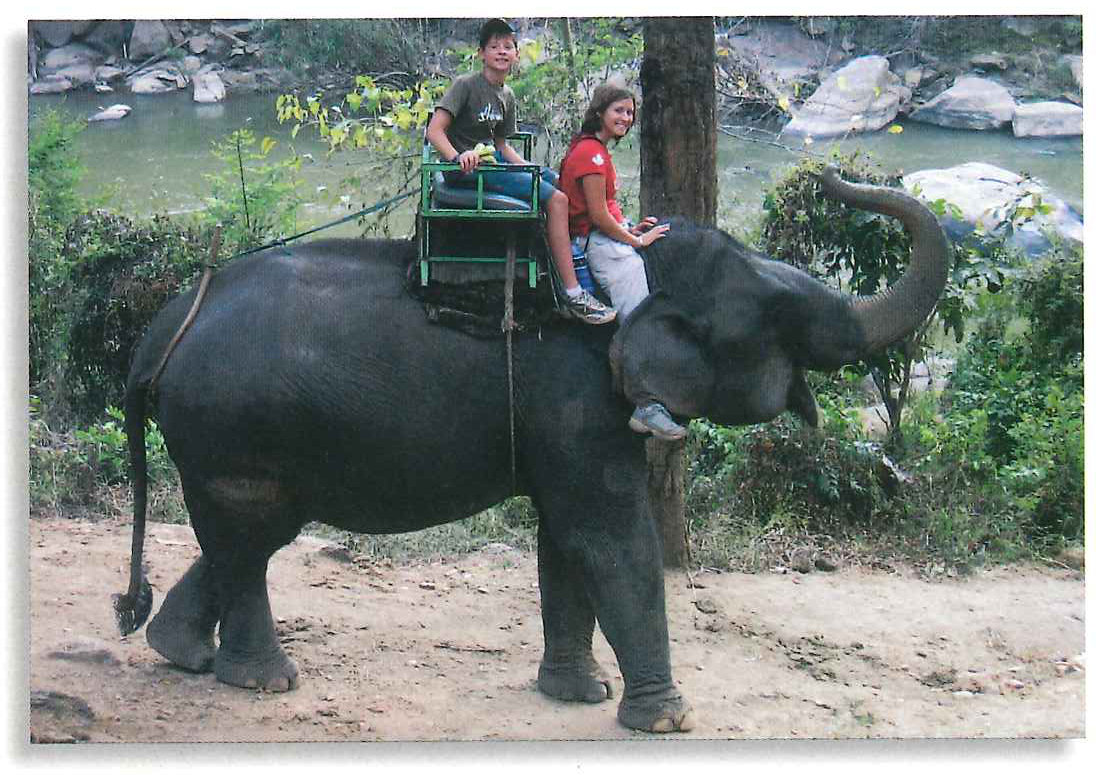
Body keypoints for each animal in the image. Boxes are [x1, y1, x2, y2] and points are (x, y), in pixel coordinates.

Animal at [113, 167, 949, 734]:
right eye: (778, 314)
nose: (832, 180)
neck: (623, 263)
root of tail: (163, 329)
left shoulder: (568, 424)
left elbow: (564, 541)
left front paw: (580, 695)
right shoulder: (578, 401)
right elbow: (609, 536)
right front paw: (666, 719)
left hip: (222, 436)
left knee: (244, 538)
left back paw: (182, 653)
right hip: (235, 429)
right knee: (254, 536)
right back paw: (265, 681)